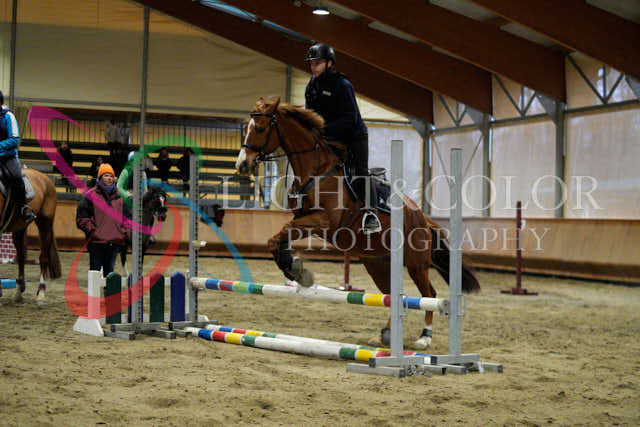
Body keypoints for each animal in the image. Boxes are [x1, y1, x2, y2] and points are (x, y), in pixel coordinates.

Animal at [0, 168, 61, 303]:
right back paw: (18, 291)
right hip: (20, 227)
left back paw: (41, 293)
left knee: (43, 258)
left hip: (45, 224)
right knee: (21, 257)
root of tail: (45, 178)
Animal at [235, 97, 479, 350]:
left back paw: (424, 337)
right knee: (395, 295)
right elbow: (278, 238)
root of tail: (423, 216)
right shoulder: (302, 219)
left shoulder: (324, 221)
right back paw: (385, 335)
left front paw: (297, 271)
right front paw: (294, 268)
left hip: (416, 264)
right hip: (378, 263)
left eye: (260, 128)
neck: (316, 171)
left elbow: (281, 233)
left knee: (429, 294)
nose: (242, 164)